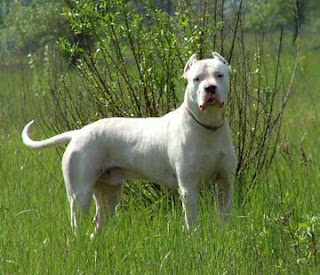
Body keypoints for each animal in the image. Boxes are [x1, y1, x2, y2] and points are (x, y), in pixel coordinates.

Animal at [22, 52, 236, 234]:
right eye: (197, 78)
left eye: (219, 75)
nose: (210, 88)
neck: (208, 127)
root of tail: (78, 133)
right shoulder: (188, 187)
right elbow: (193, 223)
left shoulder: (225, 183)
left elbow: (225, 216)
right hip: (80, 195)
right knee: (77, 228)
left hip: (109, 193)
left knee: (97, 228)